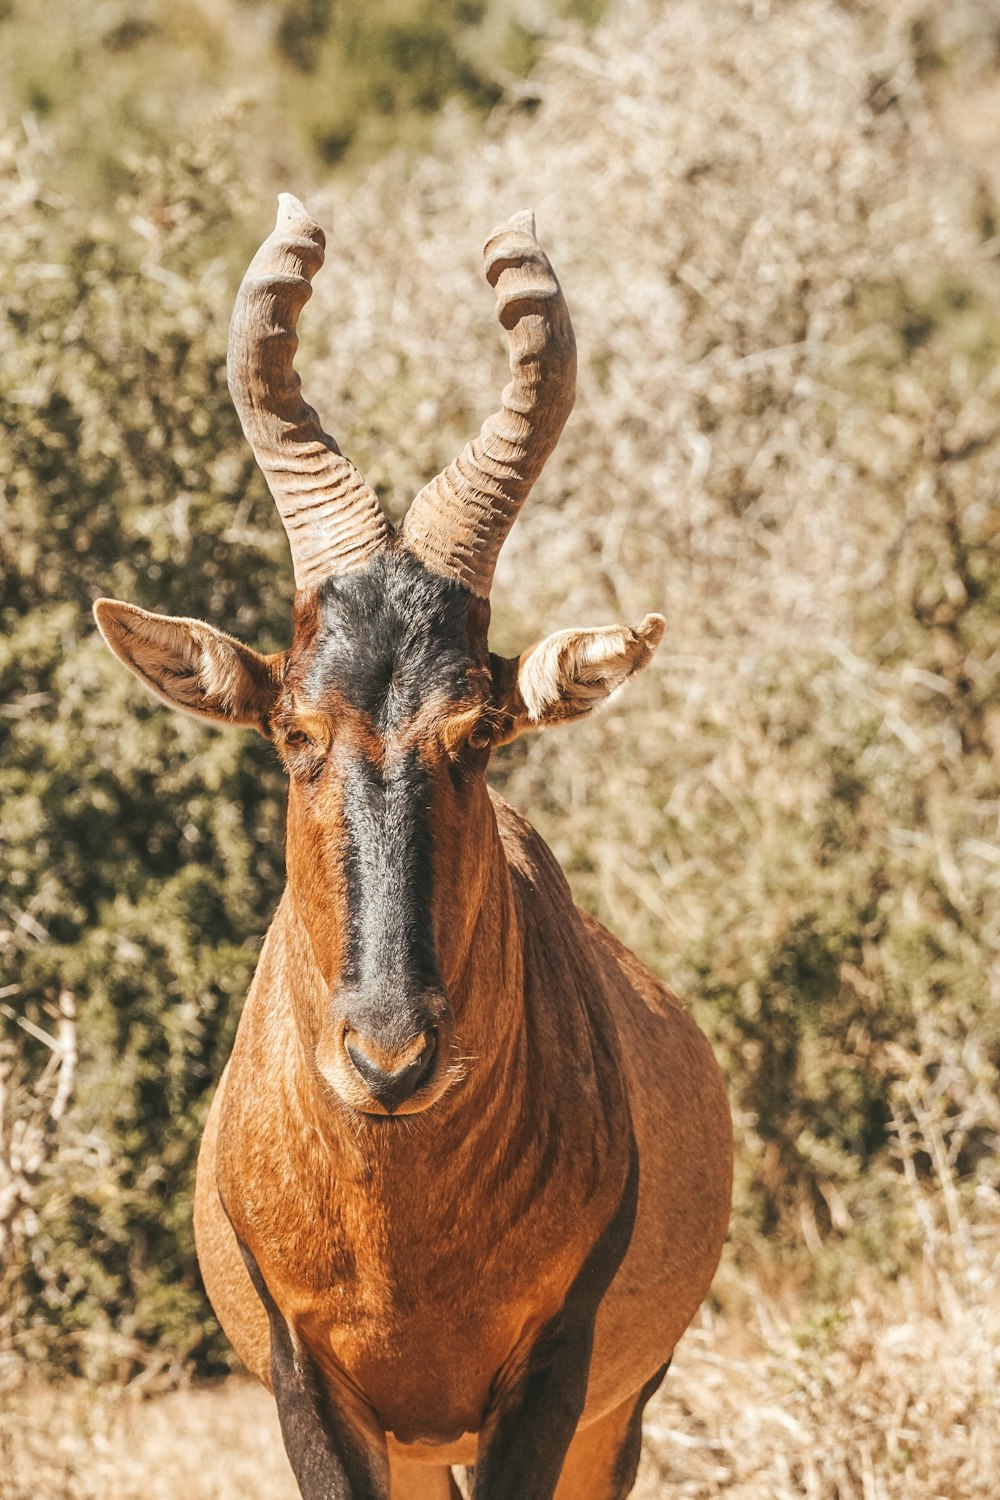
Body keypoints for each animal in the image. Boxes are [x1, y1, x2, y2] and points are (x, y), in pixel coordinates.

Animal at [95, 199, 734, 1500]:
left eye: (479, 730)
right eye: (293, 728)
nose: (388, 1058)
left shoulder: (551, 1389)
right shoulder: (310, 1389)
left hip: (611, 1418)